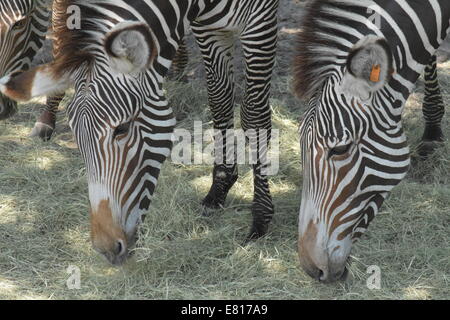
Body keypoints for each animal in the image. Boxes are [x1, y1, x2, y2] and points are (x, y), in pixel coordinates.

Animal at [0, 0, 280, 264]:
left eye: (122, 129)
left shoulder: (260, 20)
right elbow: (220, 102)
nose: (106, 248)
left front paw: (260, 218)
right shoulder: (208, 29)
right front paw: (220, 188)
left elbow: (254, 114)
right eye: (77, 139)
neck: (197, 3)